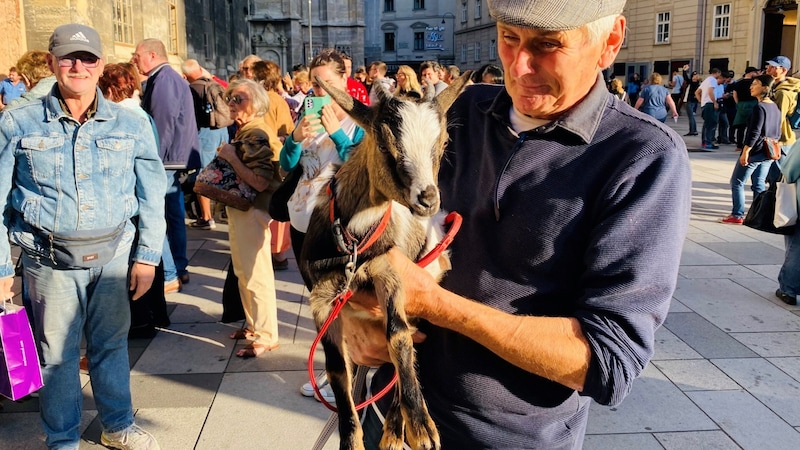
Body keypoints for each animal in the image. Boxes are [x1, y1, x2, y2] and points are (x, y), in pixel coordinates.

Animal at [302, 72, 472, 448]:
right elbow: (337, 368)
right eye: (383, 144)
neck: (354, 243)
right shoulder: (323, 299)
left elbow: (398, 335)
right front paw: (350, 439)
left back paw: (395, 429)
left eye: (444, 141)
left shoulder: (391, 271)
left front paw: (421, 426)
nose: (428, 200)